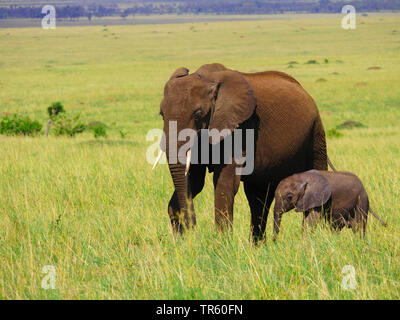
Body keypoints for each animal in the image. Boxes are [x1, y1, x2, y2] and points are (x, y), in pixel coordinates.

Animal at [156, 63, 328, 242]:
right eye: (161, 114)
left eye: (198, 114)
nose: (193, 229)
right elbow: (194, 180)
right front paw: (181, 242)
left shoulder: (240, 127)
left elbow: (225, 183)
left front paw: (221, 243)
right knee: (258, 197)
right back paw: (258, 245)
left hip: (316, 133)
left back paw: (310, 239)